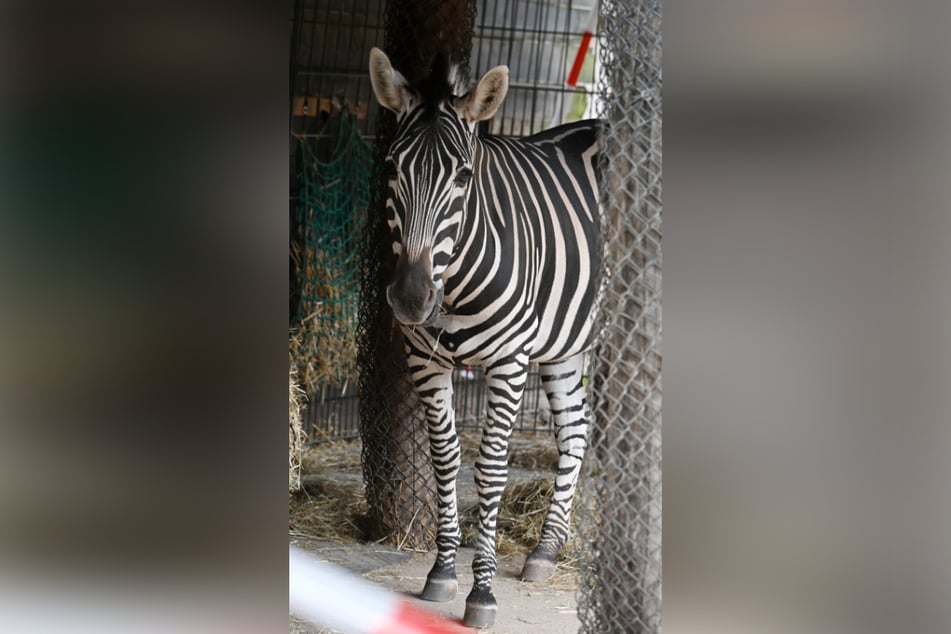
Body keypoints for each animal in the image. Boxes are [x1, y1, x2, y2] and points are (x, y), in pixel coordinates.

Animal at [369, 47, 603, 629]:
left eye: (464, 175)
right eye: (391, 168)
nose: (411, 298)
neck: (452, 284)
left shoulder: (509, 359)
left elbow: (492, 469)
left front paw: (482, 592)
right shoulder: (423, 359)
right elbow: (445, 456)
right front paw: (442, 570)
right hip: (564, 343)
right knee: (575, 429)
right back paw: (546, 550)